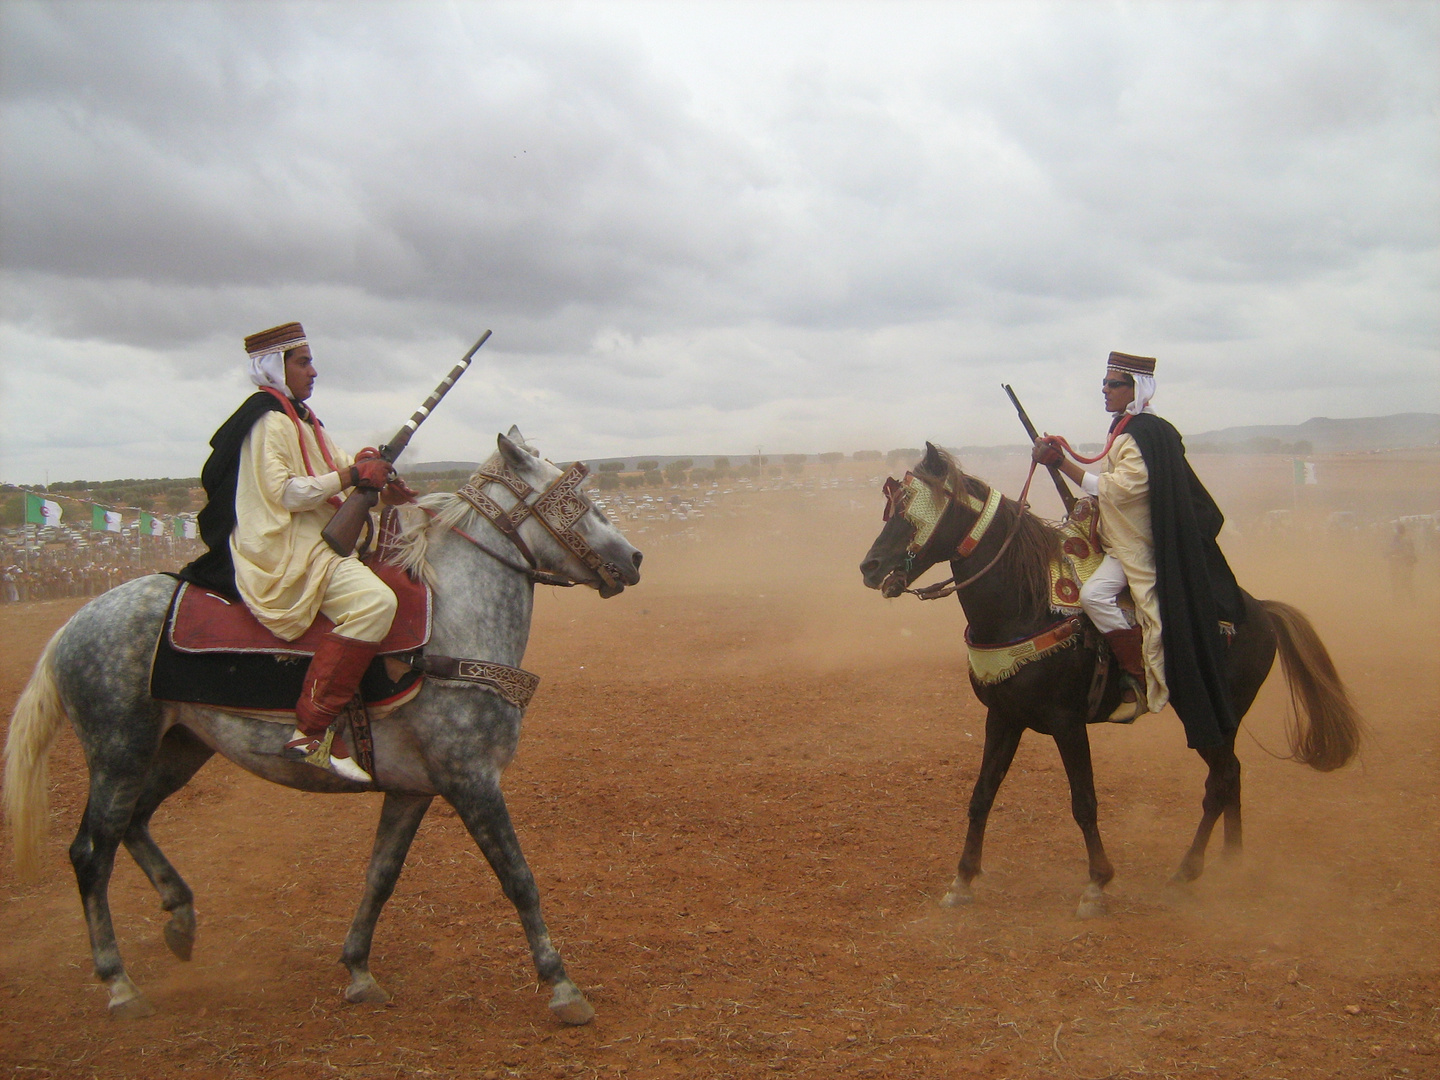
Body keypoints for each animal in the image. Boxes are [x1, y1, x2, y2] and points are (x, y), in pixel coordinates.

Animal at [0, 429, 642, 1025]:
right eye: (576, 499)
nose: (635, 558)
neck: (452, 620)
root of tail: (72, 626)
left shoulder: (412, 790)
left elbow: (381, 875)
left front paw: (358, 969)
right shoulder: (472, 780)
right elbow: (518, 877)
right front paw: (562, 985)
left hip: (179, 748)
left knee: (134, 823)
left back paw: (180, 918)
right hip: (118, 751)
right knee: (91, 853)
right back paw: (119, 983)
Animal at [858, 443, 1365, 915]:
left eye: (907, 510)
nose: (869, 567)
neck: (1025, 602)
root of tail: (1260, 610)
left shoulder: (1067, 723)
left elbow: (1084, 801)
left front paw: (1097, 884)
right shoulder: (1003, 717)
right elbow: (981, 795)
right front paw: (962, 880)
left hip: (1207, 716)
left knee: (1220, 781)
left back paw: (1187, 871)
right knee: (1232, 776)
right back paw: (1230, 861)